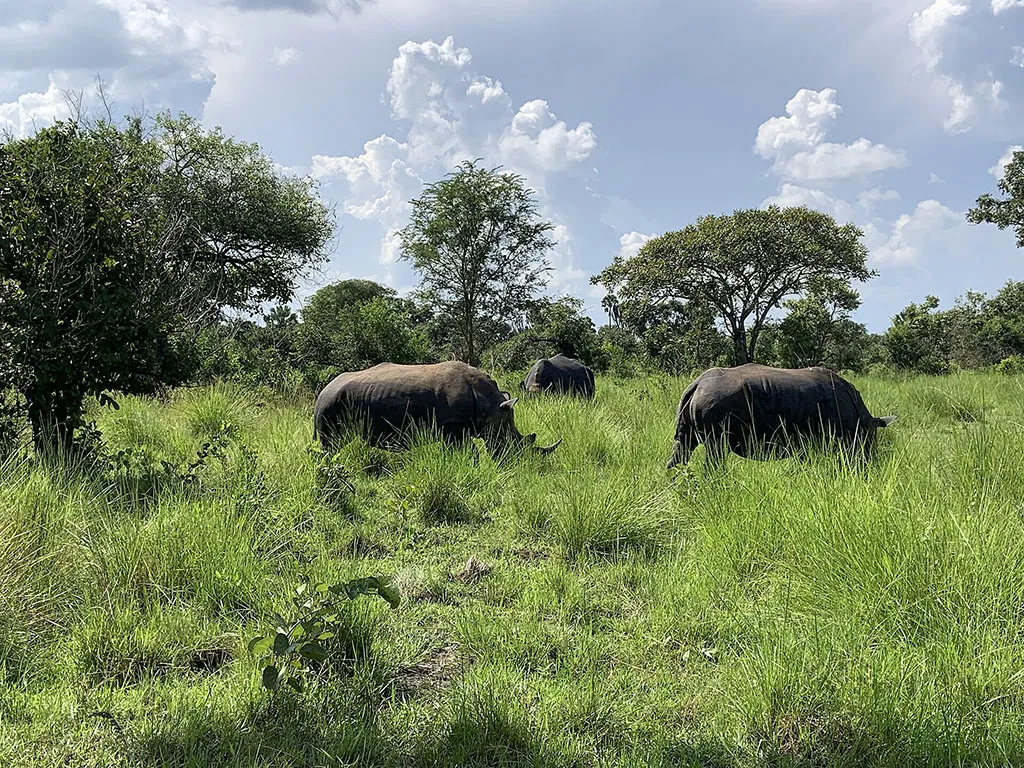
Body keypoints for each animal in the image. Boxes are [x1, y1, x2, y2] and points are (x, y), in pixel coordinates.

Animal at [314, 361, 561, 458]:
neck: (489, 404)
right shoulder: (453, 423)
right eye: (512, 441)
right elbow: (468, 451)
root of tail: (322, 391)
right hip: (330, 403)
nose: (519, 462)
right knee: (331, 444)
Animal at [667, 364, 896, 468]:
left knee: (683, 448)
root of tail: (696, 384)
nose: (870, 466)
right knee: (715, 452)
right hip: (715, 403)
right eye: (867, 445)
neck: (860, 419)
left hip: (697, 403)